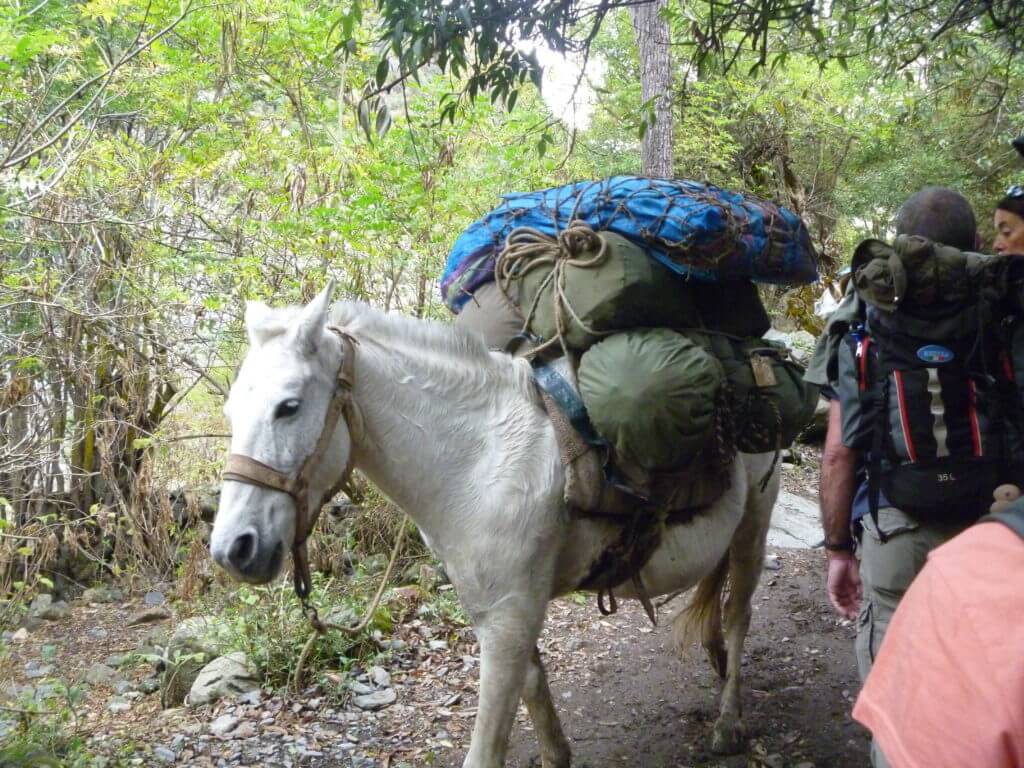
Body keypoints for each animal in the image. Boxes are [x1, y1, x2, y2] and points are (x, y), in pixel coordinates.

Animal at [211, 284, 778, 768]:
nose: (233, 549)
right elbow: (535, 692)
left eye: (288, 407)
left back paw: (729, 722)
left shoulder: (507, 617)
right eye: (231, 409)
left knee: (740, 614)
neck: (478, 459)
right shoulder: (503, 611)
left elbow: (487, 748)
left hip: (755, 523)